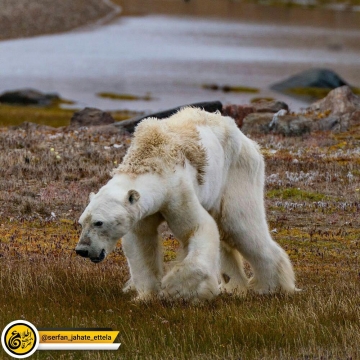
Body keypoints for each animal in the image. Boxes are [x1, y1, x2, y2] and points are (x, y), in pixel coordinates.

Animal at [75, 107, 296, 300]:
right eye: (82, 222)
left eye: (99, 222)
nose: (82, 250)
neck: (150, 160)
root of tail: (249, 141)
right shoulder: (143, 211)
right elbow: (141, 242)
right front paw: (146, 295)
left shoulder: (177, 191)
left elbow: (198, 228)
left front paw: (175, 288)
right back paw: (233, 286)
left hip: (237, 173)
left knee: (240, 226)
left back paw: (270, 287)